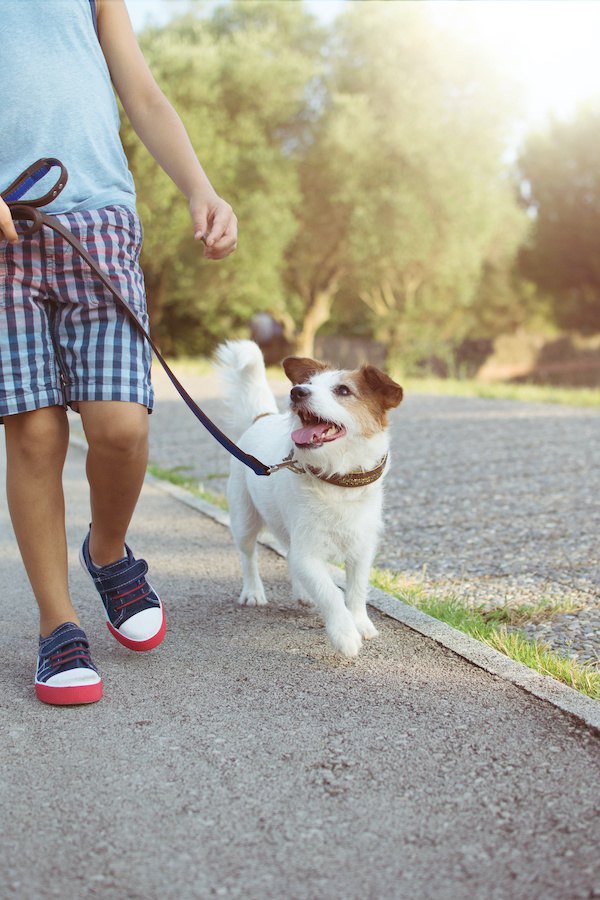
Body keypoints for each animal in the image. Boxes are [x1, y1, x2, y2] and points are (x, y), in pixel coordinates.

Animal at [216, 342, 404, 656]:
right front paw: (345, 633)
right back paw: (253, 591)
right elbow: (330, 593)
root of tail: (262, 417)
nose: (297, 391)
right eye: (309, 384)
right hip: (244, 519)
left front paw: (360, 622)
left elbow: (356, 590)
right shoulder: (308, 552)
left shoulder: (361, 548)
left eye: (343, 390)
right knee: (248, 556)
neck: (337, 478)